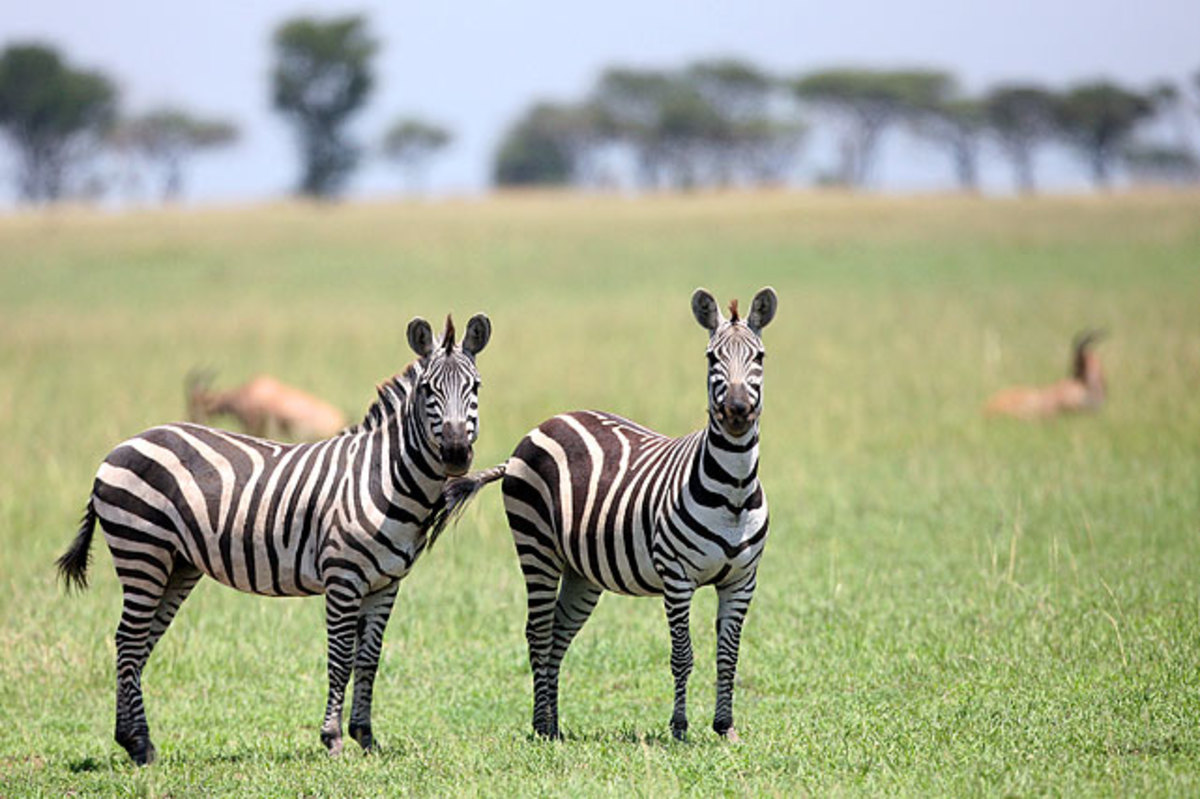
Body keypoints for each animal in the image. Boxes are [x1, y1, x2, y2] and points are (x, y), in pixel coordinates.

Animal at [444, 286, 777, 739]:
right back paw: (541, 727)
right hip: (536, 548)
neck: (734, 492)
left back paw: (555, 725)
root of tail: (547, 422)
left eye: (759, 356)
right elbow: (682, 655)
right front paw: (679, 727)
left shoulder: (742, 581)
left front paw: (725, 727)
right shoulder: (677, 578)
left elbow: (729, 656)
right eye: (712, 358)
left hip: (581, 571)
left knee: (557, 636)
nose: (739, 411)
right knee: (538, 632)